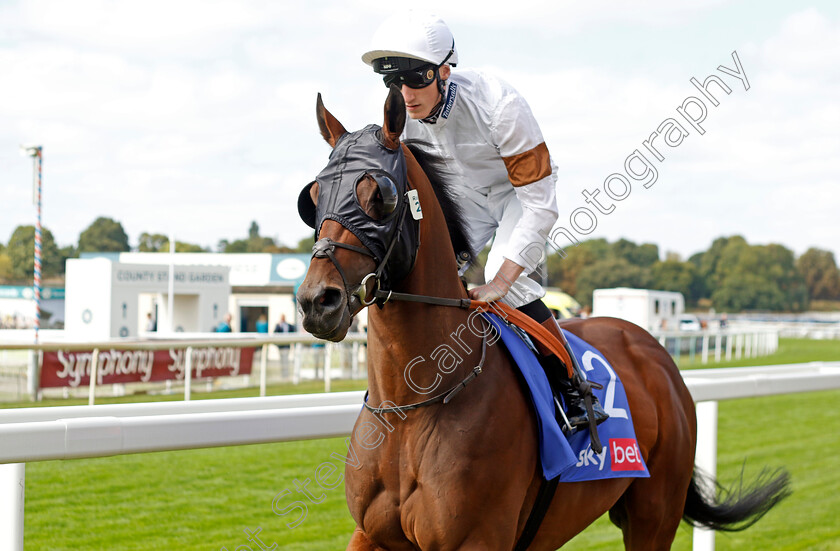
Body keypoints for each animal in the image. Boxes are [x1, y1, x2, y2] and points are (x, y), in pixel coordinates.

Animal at [296, 87, 788, 551]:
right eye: (313, 197)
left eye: (379, 195)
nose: (317, 301)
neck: (412, 407)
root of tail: (654, 351)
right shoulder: (371, 534)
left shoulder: (477, 538)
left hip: (655, 513)